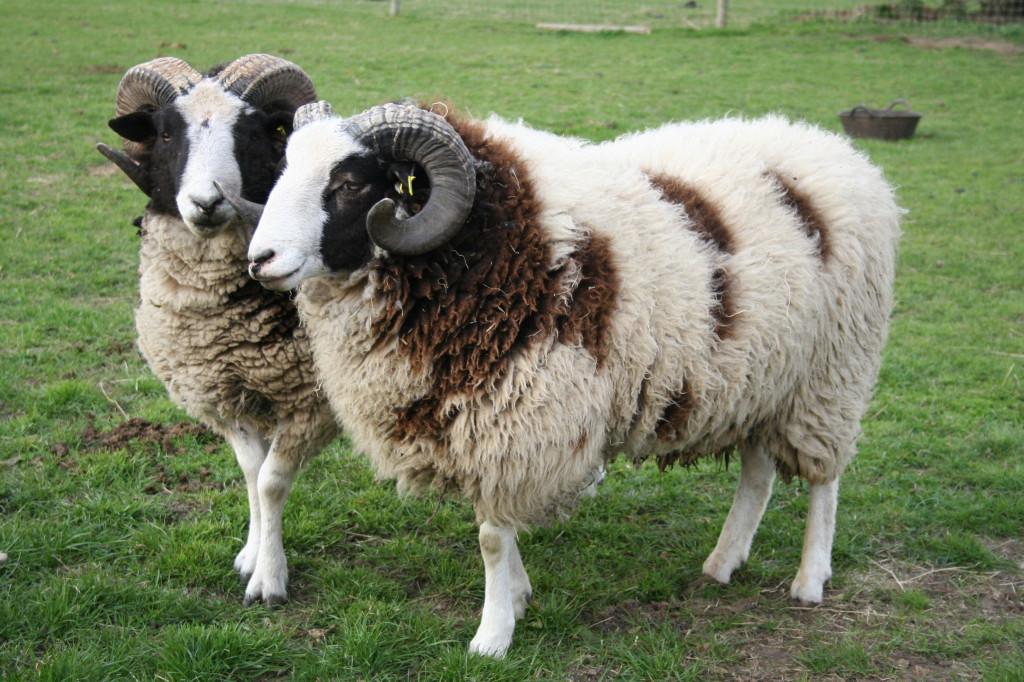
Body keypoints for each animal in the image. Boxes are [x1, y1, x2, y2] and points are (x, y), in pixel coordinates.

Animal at [96, 56, 338, 606]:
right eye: (166, 133)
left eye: (253, 132)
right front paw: (251, 554)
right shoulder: (225, 395)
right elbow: (250, 475)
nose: (206, 202)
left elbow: (271, 482)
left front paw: (268, 581)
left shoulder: (308, 403)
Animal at [232, 101, 900, 656]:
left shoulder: (520, 415)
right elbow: (498, 529)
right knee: (759, 471)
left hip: (832, 372)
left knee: (824, 480)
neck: (493, 242)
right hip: (766, 377)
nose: (259, 260)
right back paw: (724, 561)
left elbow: (491, 535)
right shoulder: (488, 418)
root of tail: (841, 153)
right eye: (284, 167)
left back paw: (809, 578)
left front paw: (492, 636)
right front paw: (518, 594)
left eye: (348, 184)